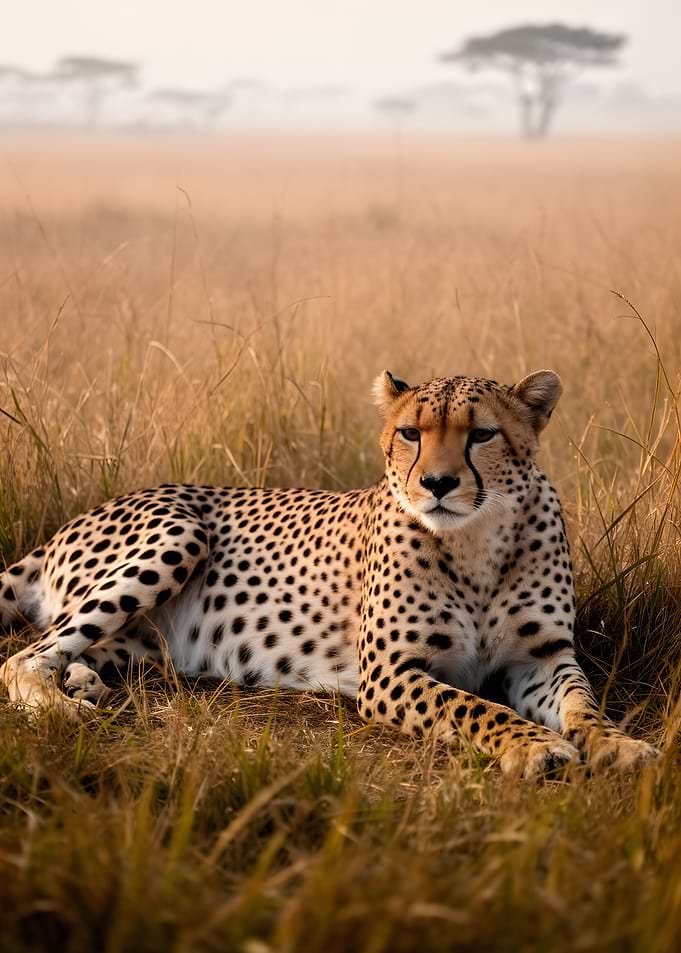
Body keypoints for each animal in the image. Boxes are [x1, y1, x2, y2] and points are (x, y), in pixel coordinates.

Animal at [0, 368, 661, 778]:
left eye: (482, 434)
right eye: (410, 433)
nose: (437, 483)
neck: (476, 538)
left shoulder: (541, 658)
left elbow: (584, 705)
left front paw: (619, 745)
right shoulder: (392, 673)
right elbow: (477, 708)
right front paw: (535, 746)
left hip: (142, 638)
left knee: (65, 650)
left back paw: (84, 682)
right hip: (180, 535)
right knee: (22, 657)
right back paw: (63, 709)